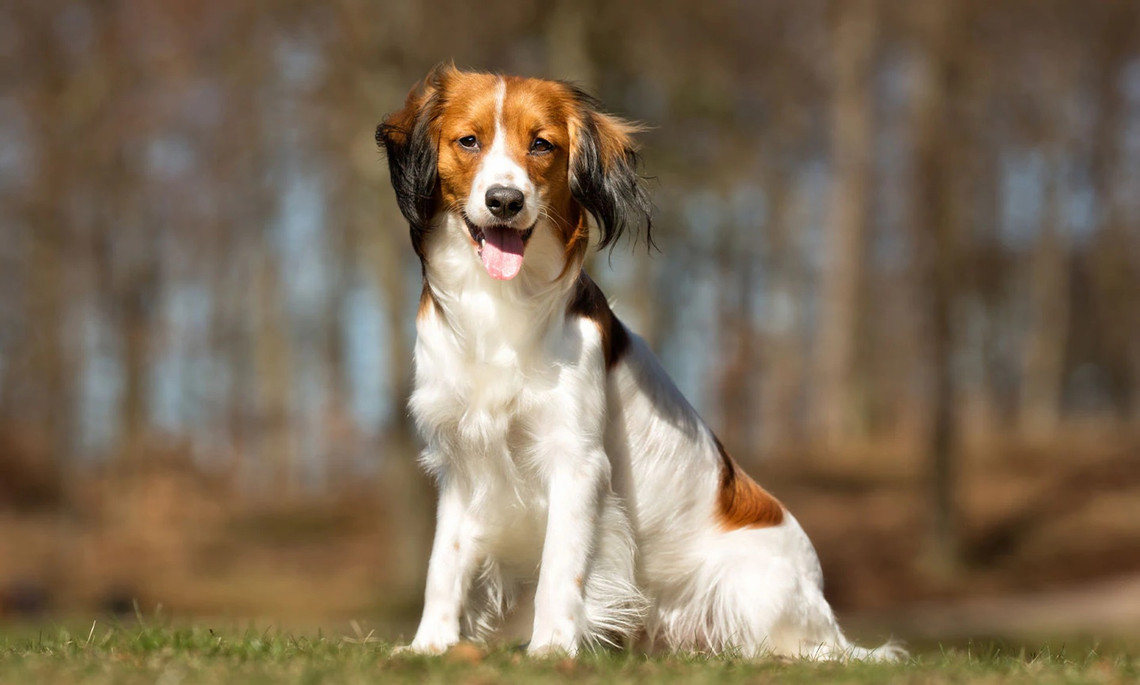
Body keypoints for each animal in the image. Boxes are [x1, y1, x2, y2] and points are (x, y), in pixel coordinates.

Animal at [378, 66, 893, 661]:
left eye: (541, 145)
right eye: (468, 141)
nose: (505, 200)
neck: (499, 305)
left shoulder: (576, 460)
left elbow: (561, 568)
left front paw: (552, 650)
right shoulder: (461, 456)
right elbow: (446, 561)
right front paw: (429, 646)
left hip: (755, 593)